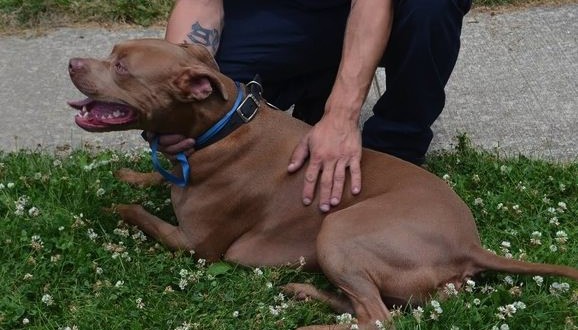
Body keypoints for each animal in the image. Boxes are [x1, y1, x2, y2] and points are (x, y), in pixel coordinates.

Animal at [68, 39, 576, 330]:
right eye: (111, 54)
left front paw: (110, 208)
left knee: (378, 320)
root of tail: (470, 245)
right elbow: (154, 175)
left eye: (122, 67)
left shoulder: (196, 245)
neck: (219, 128)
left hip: (340, 231)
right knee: (368, 308)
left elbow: (136, 213)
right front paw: (135, 174)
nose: (71, 63)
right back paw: (305, 293)